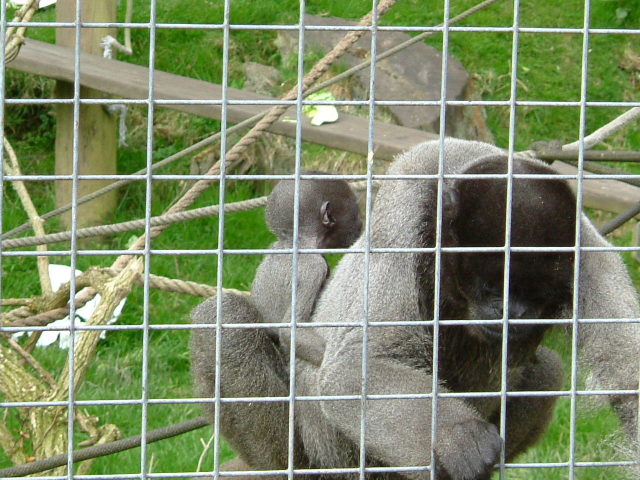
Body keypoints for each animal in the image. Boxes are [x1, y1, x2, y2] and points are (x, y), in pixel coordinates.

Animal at [190, 139, 640, 480]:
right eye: (489, 287)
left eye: (534, 296)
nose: (510, 312)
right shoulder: (409, 201)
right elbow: (350, 370)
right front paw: (456, 435)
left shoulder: (586, 249)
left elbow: (628, 382)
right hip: (327, 455)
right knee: (222, 319)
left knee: (546, 366)